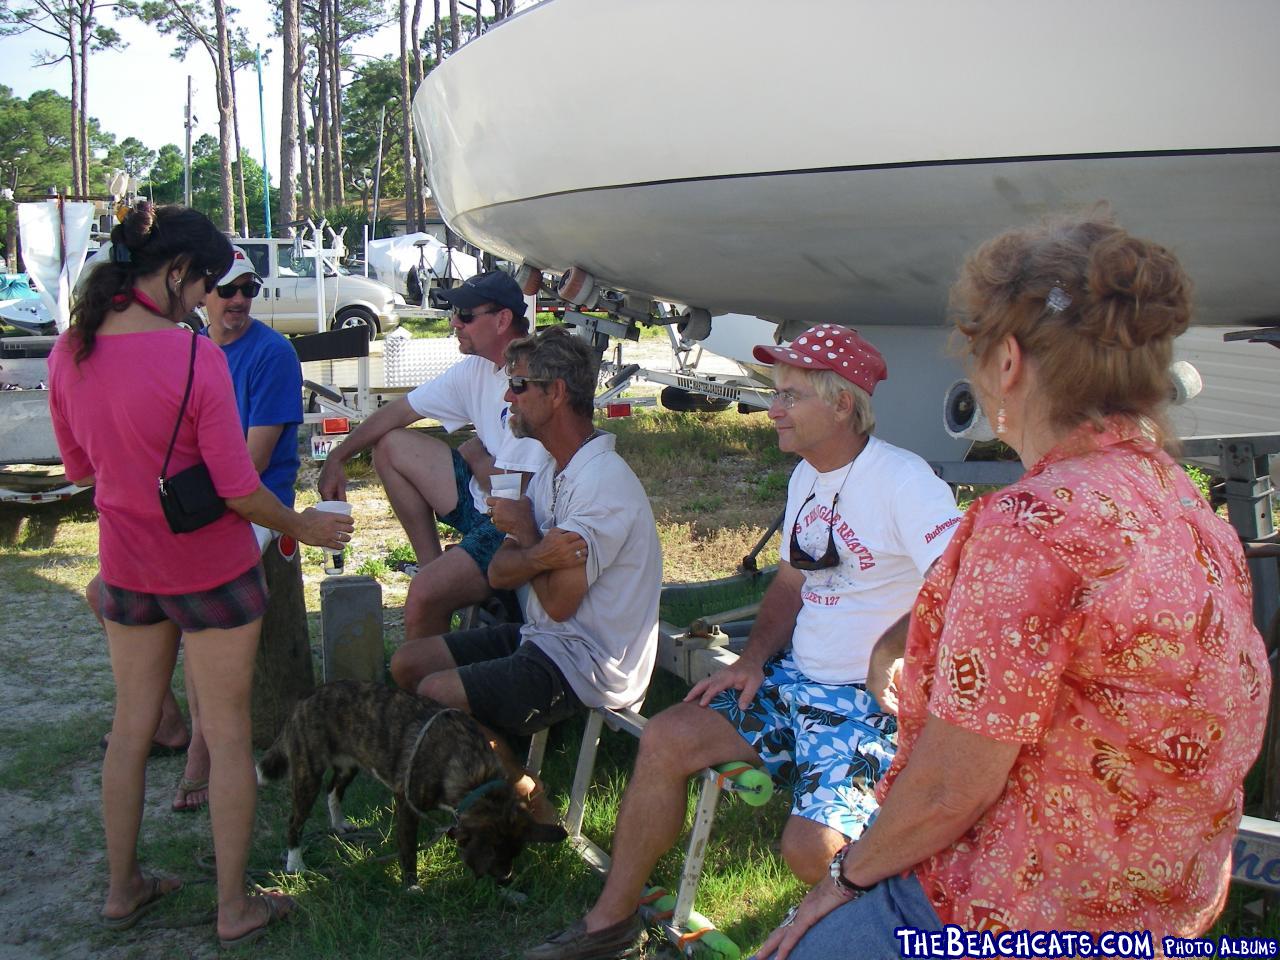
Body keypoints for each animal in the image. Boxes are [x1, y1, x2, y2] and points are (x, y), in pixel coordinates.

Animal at [254, 680, 565, 890]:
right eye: (495, 855)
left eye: (515, 853)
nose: (506, 880)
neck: (473, 773)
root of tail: (306, 699)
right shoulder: (407, 805)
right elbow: (408, 847)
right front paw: (411, 885)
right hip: (308, 775)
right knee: (295, 821)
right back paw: (295, 863)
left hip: (349, 765)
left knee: (334, 790)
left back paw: (339, 824)